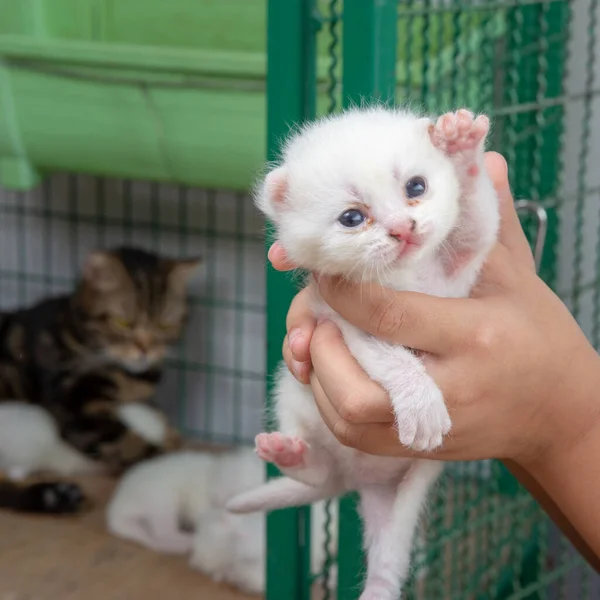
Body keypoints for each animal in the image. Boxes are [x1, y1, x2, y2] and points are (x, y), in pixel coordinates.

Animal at [0, 246, 202, 512]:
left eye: (164, 325)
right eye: (122, 322)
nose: (145, 349)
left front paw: (174, 439)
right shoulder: (78, 405)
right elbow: (131, 441)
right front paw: (166, 463)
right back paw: (54, 495)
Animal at [225, 108, 496, 600]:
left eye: (416, 187)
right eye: (352, 217)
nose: (403, 228)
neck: (404, 276)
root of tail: (357, 479)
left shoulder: (461, 268)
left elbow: (477, 219)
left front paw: (462, 145)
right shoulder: (344, 321)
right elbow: (392, 359)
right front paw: (422, 404)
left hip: (407, 492)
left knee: (389, 561)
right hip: (289, 396)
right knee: (319, 476)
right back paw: (290, 454)